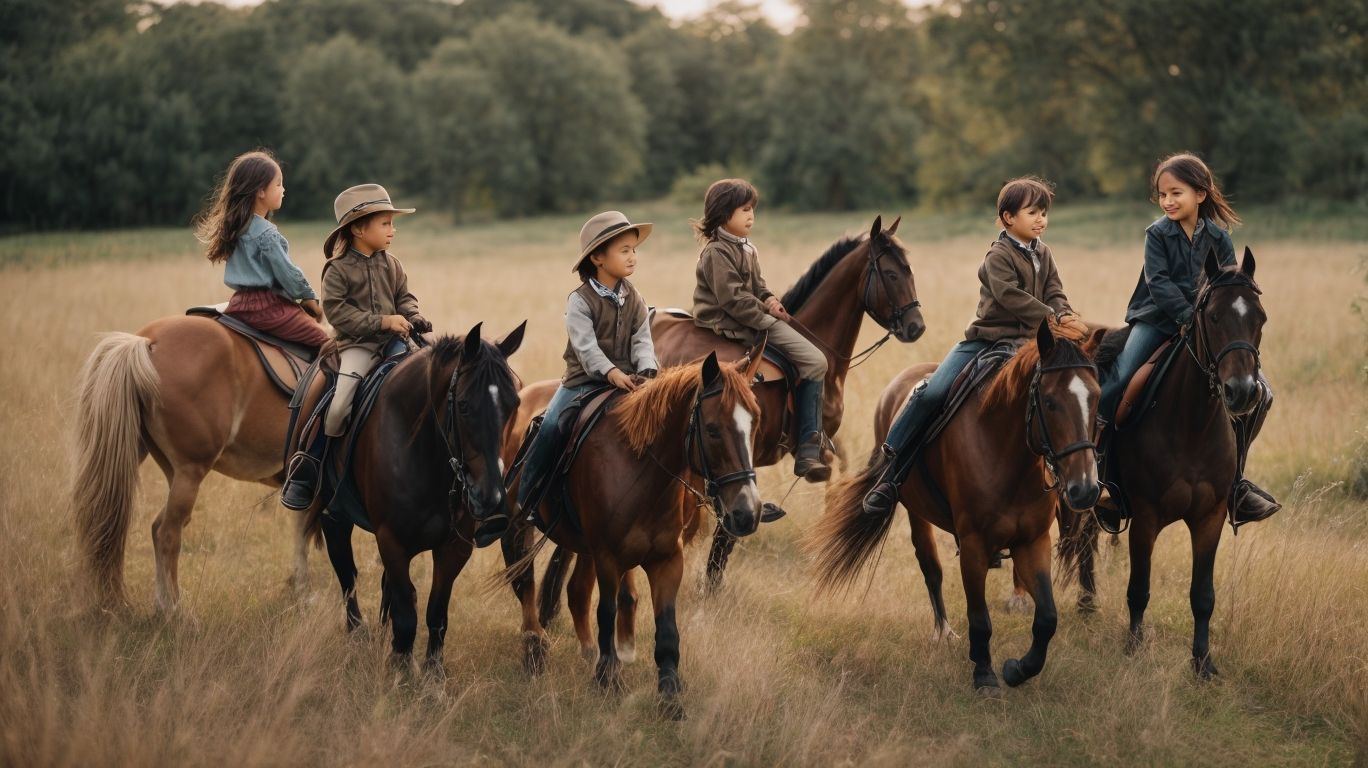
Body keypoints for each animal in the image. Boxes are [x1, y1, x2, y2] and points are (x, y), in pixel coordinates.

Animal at [72, 315, 320, 611]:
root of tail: (148, 341)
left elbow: (302, 533)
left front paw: (300, 592)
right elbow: (308, 535)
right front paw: (305, 594)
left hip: (159, 462)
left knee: (152, 527)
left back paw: (159, 604)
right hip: (190, 471)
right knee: (167, 533)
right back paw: (175, 611)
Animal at [295, 323, 524, 675]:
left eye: (513, 404)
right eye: (464, 405)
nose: (491, 499)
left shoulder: (454, 548)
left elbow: (436, 612)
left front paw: (433, 672)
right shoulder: (391, 541)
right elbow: (406, 614)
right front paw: (402, 668)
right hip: (334, 514)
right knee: (346, 571)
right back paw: (357, 632)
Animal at [501, 351, 764, 718]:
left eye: (755, 422)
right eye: (712, 429)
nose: (747, 513)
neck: (641, 468)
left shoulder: (668, 560)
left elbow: (666, 630)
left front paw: (670, 698)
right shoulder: (608, 557)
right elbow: (606, 612)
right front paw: (608, 680)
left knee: (576, 591)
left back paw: (587, 652)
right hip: (519, 526)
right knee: (525, 582)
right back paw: (535, 649)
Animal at [810, 320, 1102, 692]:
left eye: (1096, 397)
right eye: (1049, 402)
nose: (1085, 489)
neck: (1008, 455)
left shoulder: (1033, 542)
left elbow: (1047, 618)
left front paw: (1018, 669)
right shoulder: (974, 545)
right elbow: (979, 617)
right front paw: (985, 675)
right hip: (914, 510)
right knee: (930, 567)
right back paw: (944, 631)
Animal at [1058, 249, 1268, 679]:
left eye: (1260, 317)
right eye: (1213, 316)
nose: (1241, 392)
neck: (1191, 423)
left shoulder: (1210, 517)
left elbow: (1203, 595)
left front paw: (1203, 663)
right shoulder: (1146, 517)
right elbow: (1138, 589)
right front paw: (1134, 649)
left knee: (1087, 536)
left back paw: (1087, 601)